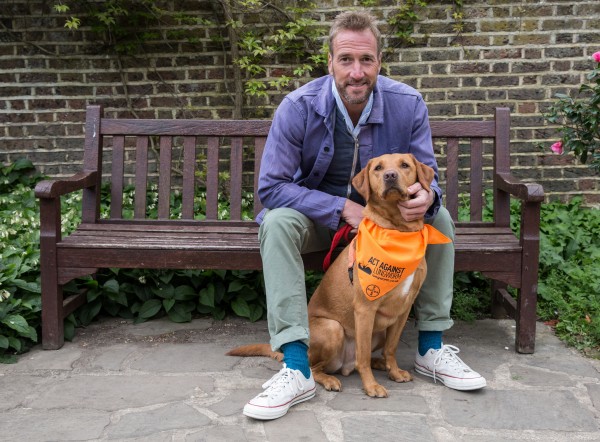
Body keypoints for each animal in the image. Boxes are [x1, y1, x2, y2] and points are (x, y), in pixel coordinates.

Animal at [227, 154, 448, 398]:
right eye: (378, 168)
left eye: (405, 165)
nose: (390, 176)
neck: (398, 231)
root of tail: (344, 365)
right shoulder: (365, 308)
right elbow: (363, 355)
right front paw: (371, 386)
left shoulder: (403, 308)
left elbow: (391, 348)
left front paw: (395, 371)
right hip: (333, 328)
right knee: (318, 367)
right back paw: (330, 378)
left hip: (378, 331)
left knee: (364, 357)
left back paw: (379, 363)